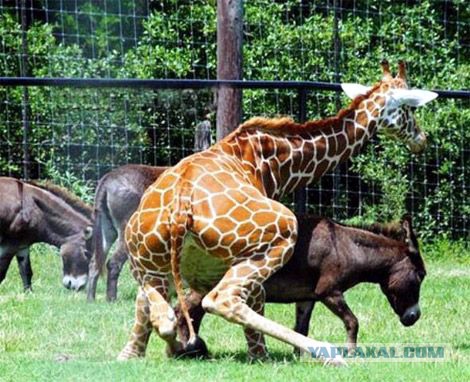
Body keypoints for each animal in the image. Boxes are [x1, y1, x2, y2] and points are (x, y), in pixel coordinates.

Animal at [117, 61, 436, 366]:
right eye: (409, 109)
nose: (421, 138)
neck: (278, 162)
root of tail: (181, 207)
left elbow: (148, 310)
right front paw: (260, 355)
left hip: (148, 261)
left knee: (160, 314)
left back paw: (154, 351)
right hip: (279, 236)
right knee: (221, 300)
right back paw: (324, 354)